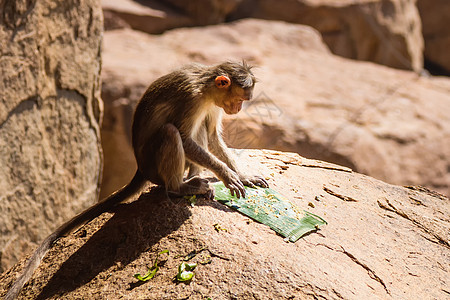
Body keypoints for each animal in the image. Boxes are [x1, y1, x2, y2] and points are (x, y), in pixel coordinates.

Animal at [5, 60, 268, 298]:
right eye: (240, 99)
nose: (238, 109)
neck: (205, 85)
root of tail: (141, 168)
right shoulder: (191, 100)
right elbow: (184, 138)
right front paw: (227, 175)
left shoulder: (213, 105)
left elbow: (212, 135)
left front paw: (242, 175)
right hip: (154, 167)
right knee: (170, 133)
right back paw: (180, 187)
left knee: (198, 130)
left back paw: (194, 178)